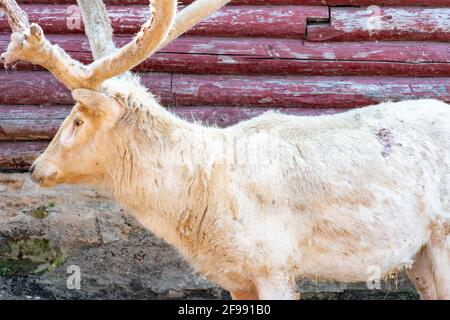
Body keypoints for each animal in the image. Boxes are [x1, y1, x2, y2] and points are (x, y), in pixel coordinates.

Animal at [0, 0, 450, 300]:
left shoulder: (274, 265)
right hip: (420, 255)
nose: (37, 168)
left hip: (444, 238)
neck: (201, 198)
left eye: (77, 119)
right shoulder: (239, 279)